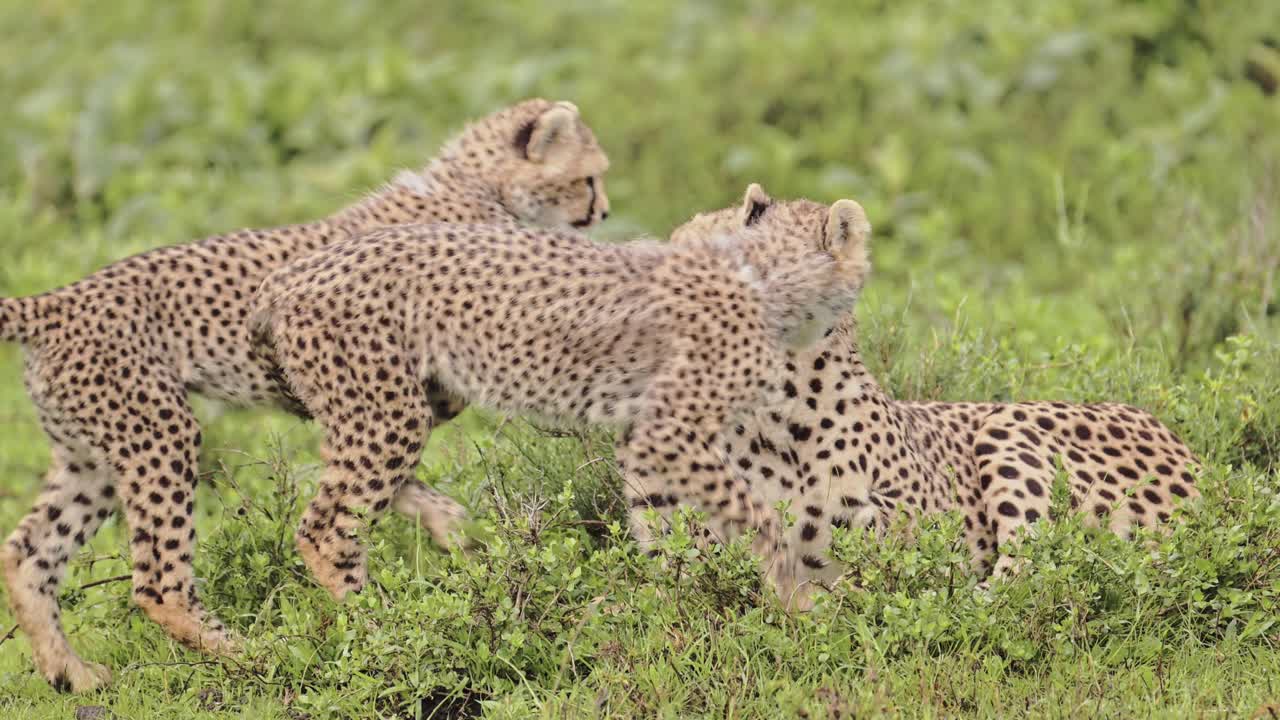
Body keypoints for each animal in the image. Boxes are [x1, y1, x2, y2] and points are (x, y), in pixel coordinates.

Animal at [0, 98, 610, 693]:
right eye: (589, 178)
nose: (602, 213)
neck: (476, 182)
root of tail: (55, 299)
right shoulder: (410, 379)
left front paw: (457, 532)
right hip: (161, 436)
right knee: (186, 573)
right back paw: (285, 648)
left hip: (92, 457)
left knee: (27, 553)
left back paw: (71, 673)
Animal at [247, 183, 874, 607]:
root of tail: (292, 272)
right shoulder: (668, 428)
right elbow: (758, 516)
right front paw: (791, 594)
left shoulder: (643, 433)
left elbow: (666, 521)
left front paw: (680, 594)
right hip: (385, 411)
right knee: (328, 527)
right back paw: (378, 618)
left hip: (417, 397)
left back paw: (455, 530)